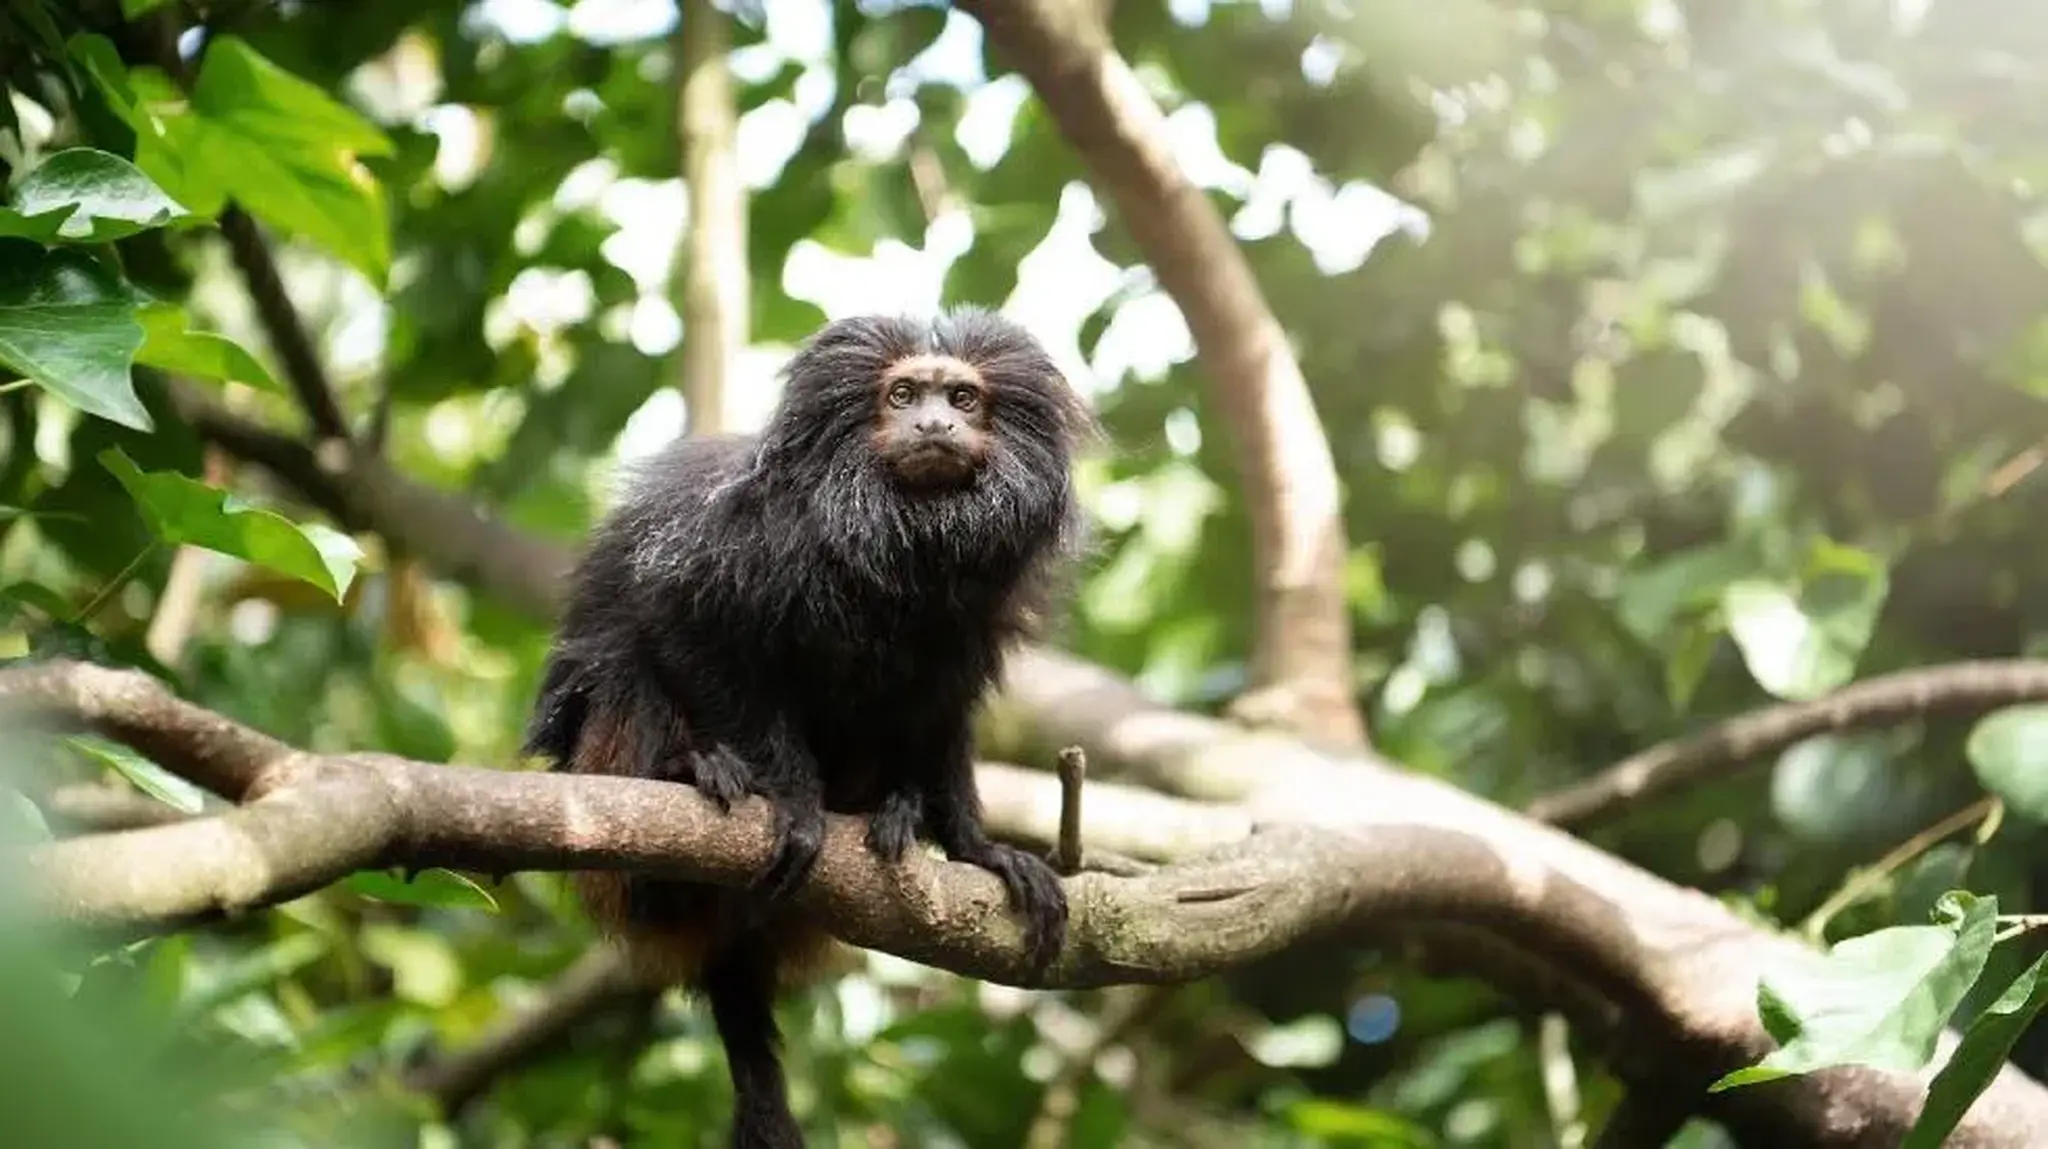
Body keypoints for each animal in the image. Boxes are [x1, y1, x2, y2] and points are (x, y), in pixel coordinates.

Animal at [521, 309, 1094, 1148]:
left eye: (963, 397)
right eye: (902, 395)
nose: (934, 424)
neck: (898, 540)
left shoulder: (971, 620)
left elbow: (942, 711)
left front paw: (976, 847)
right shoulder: (744, 544)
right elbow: (684, 631)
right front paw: (789, 798)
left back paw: (895, 812)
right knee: (622, 666)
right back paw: (684, 780)